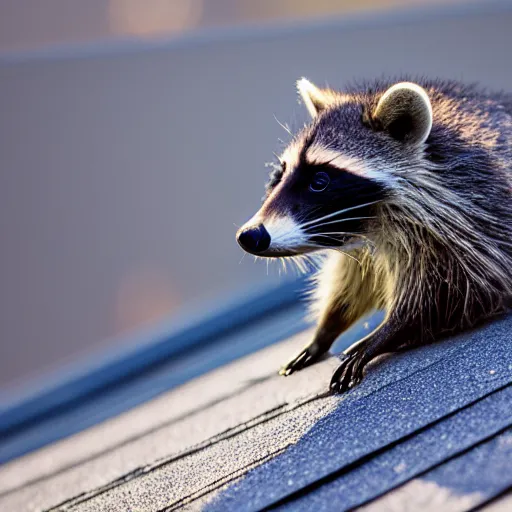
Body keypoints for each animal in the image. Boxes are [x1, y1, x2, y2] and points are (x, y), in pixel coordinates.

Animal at [236, 77, 512, 392]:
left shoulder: (471, 220)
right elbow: (351, 280)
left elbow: (452, 292)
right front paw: (326, 328)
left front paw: (388, 332)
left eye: (320, 181)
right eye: (279, 175)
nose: (249, 235)